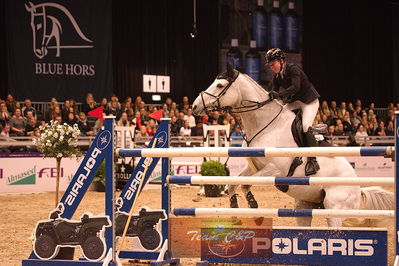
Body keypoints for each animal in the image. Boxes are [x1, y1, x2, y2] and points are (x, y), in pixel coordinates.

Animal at [192, 64, 396, 227]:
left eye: (220, 85)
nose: (194, 107)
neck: (266, 125)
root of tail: (358, 188)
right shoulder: (253, 166)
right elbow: (235, 184)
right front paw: (237, 212)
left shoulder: (275, 170)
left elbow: (245, 184)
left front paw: (254, 209)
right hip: (306, 205)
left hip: (335, 211)